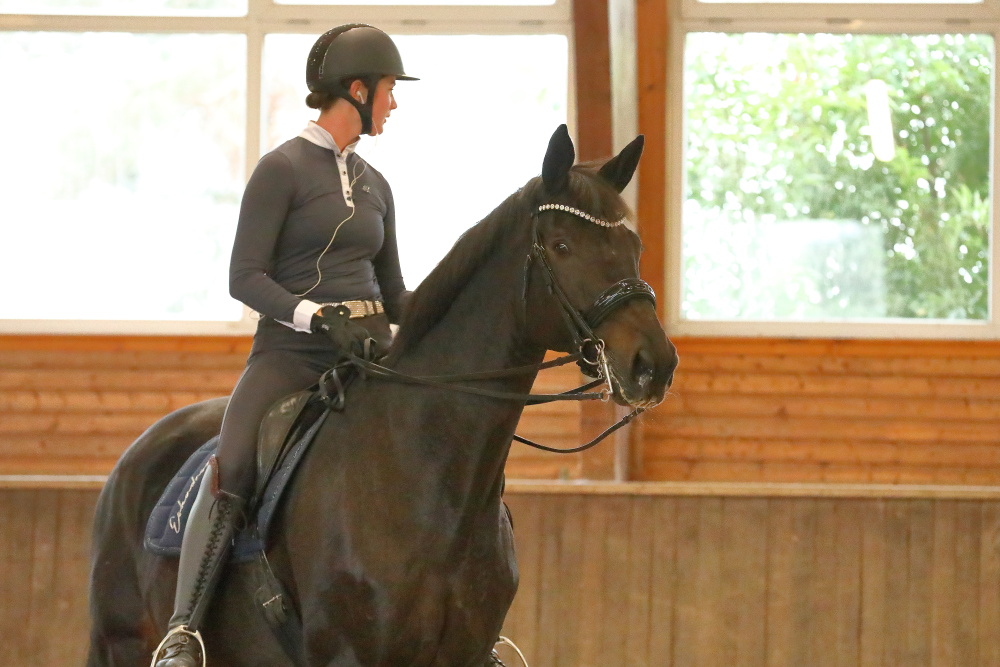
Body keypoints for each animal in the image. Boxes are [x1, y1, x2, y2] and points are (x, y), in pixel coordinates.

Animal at [88, 122, 680, 664]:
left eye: (634, 245)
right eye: (562, 246)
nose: (654, 365)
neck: (429, 481)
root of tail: (138, 453)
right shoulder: (351, 654)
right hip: (121, 640)